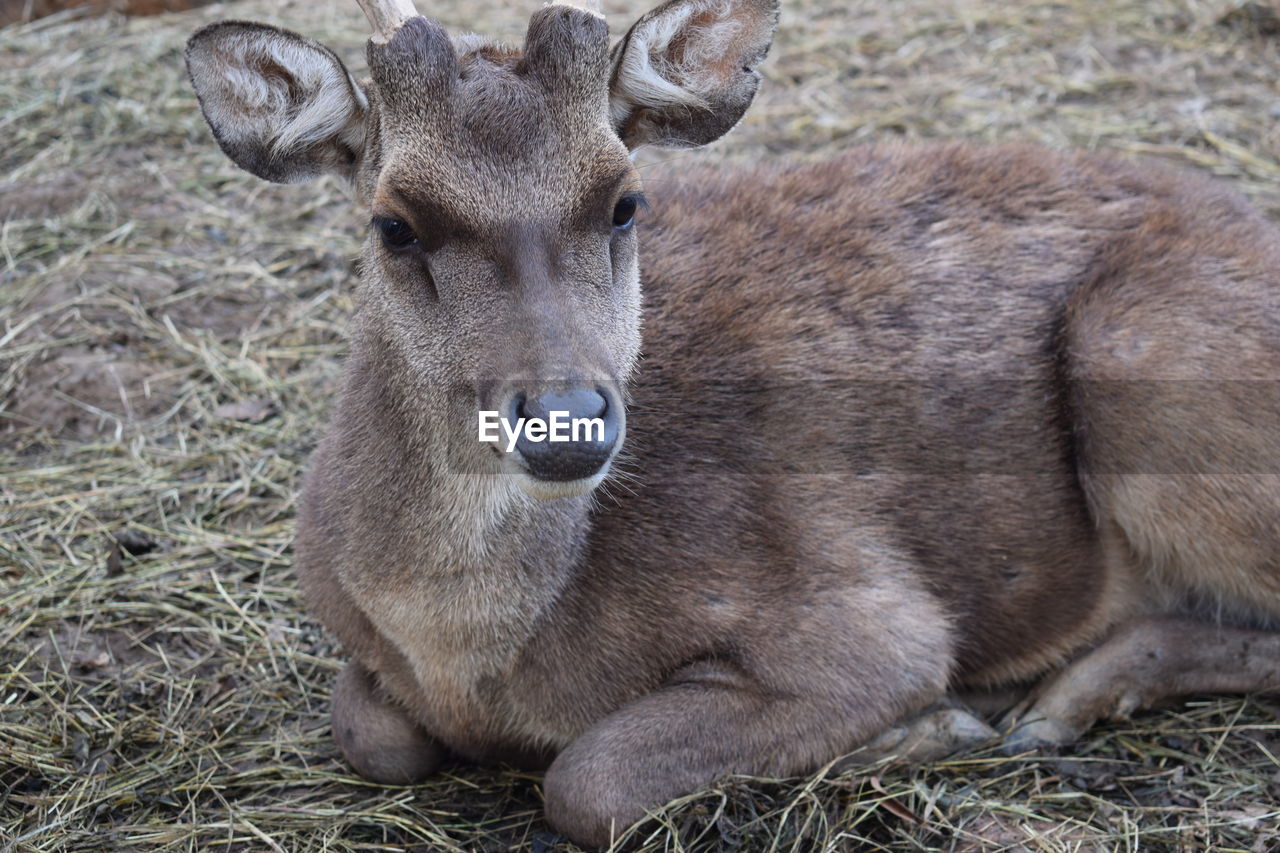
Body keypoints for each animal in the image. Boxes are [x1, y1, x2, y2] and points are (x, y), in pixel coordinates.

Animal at [185, 0, 1280, 845]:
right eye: (394, 222)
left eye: (625, 201)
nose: (566, 420)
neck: (468, 655)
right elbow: (367, 732)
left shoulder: (865, 617)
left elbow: (588, 777)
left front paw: (925, 723)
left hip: (1140, 364)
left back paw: (1044, 706)